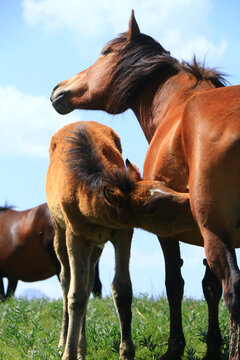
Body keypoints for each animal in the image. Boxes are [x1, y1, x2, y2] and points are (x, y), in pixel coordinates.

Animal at [45, 120, 197, 360]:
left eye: (164, 185)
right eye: (151, 208)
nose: (190, 202)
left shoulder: (123, 233)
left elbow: (122, 290)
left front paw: (126, 351)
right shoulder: (75, 235)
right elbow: (75, 296)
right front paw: (67, 353)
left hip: (95, 246)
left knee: (88, 282)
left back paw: (82, 347)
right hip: (60, 232)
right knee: (66, 278)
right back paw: (65, 342)